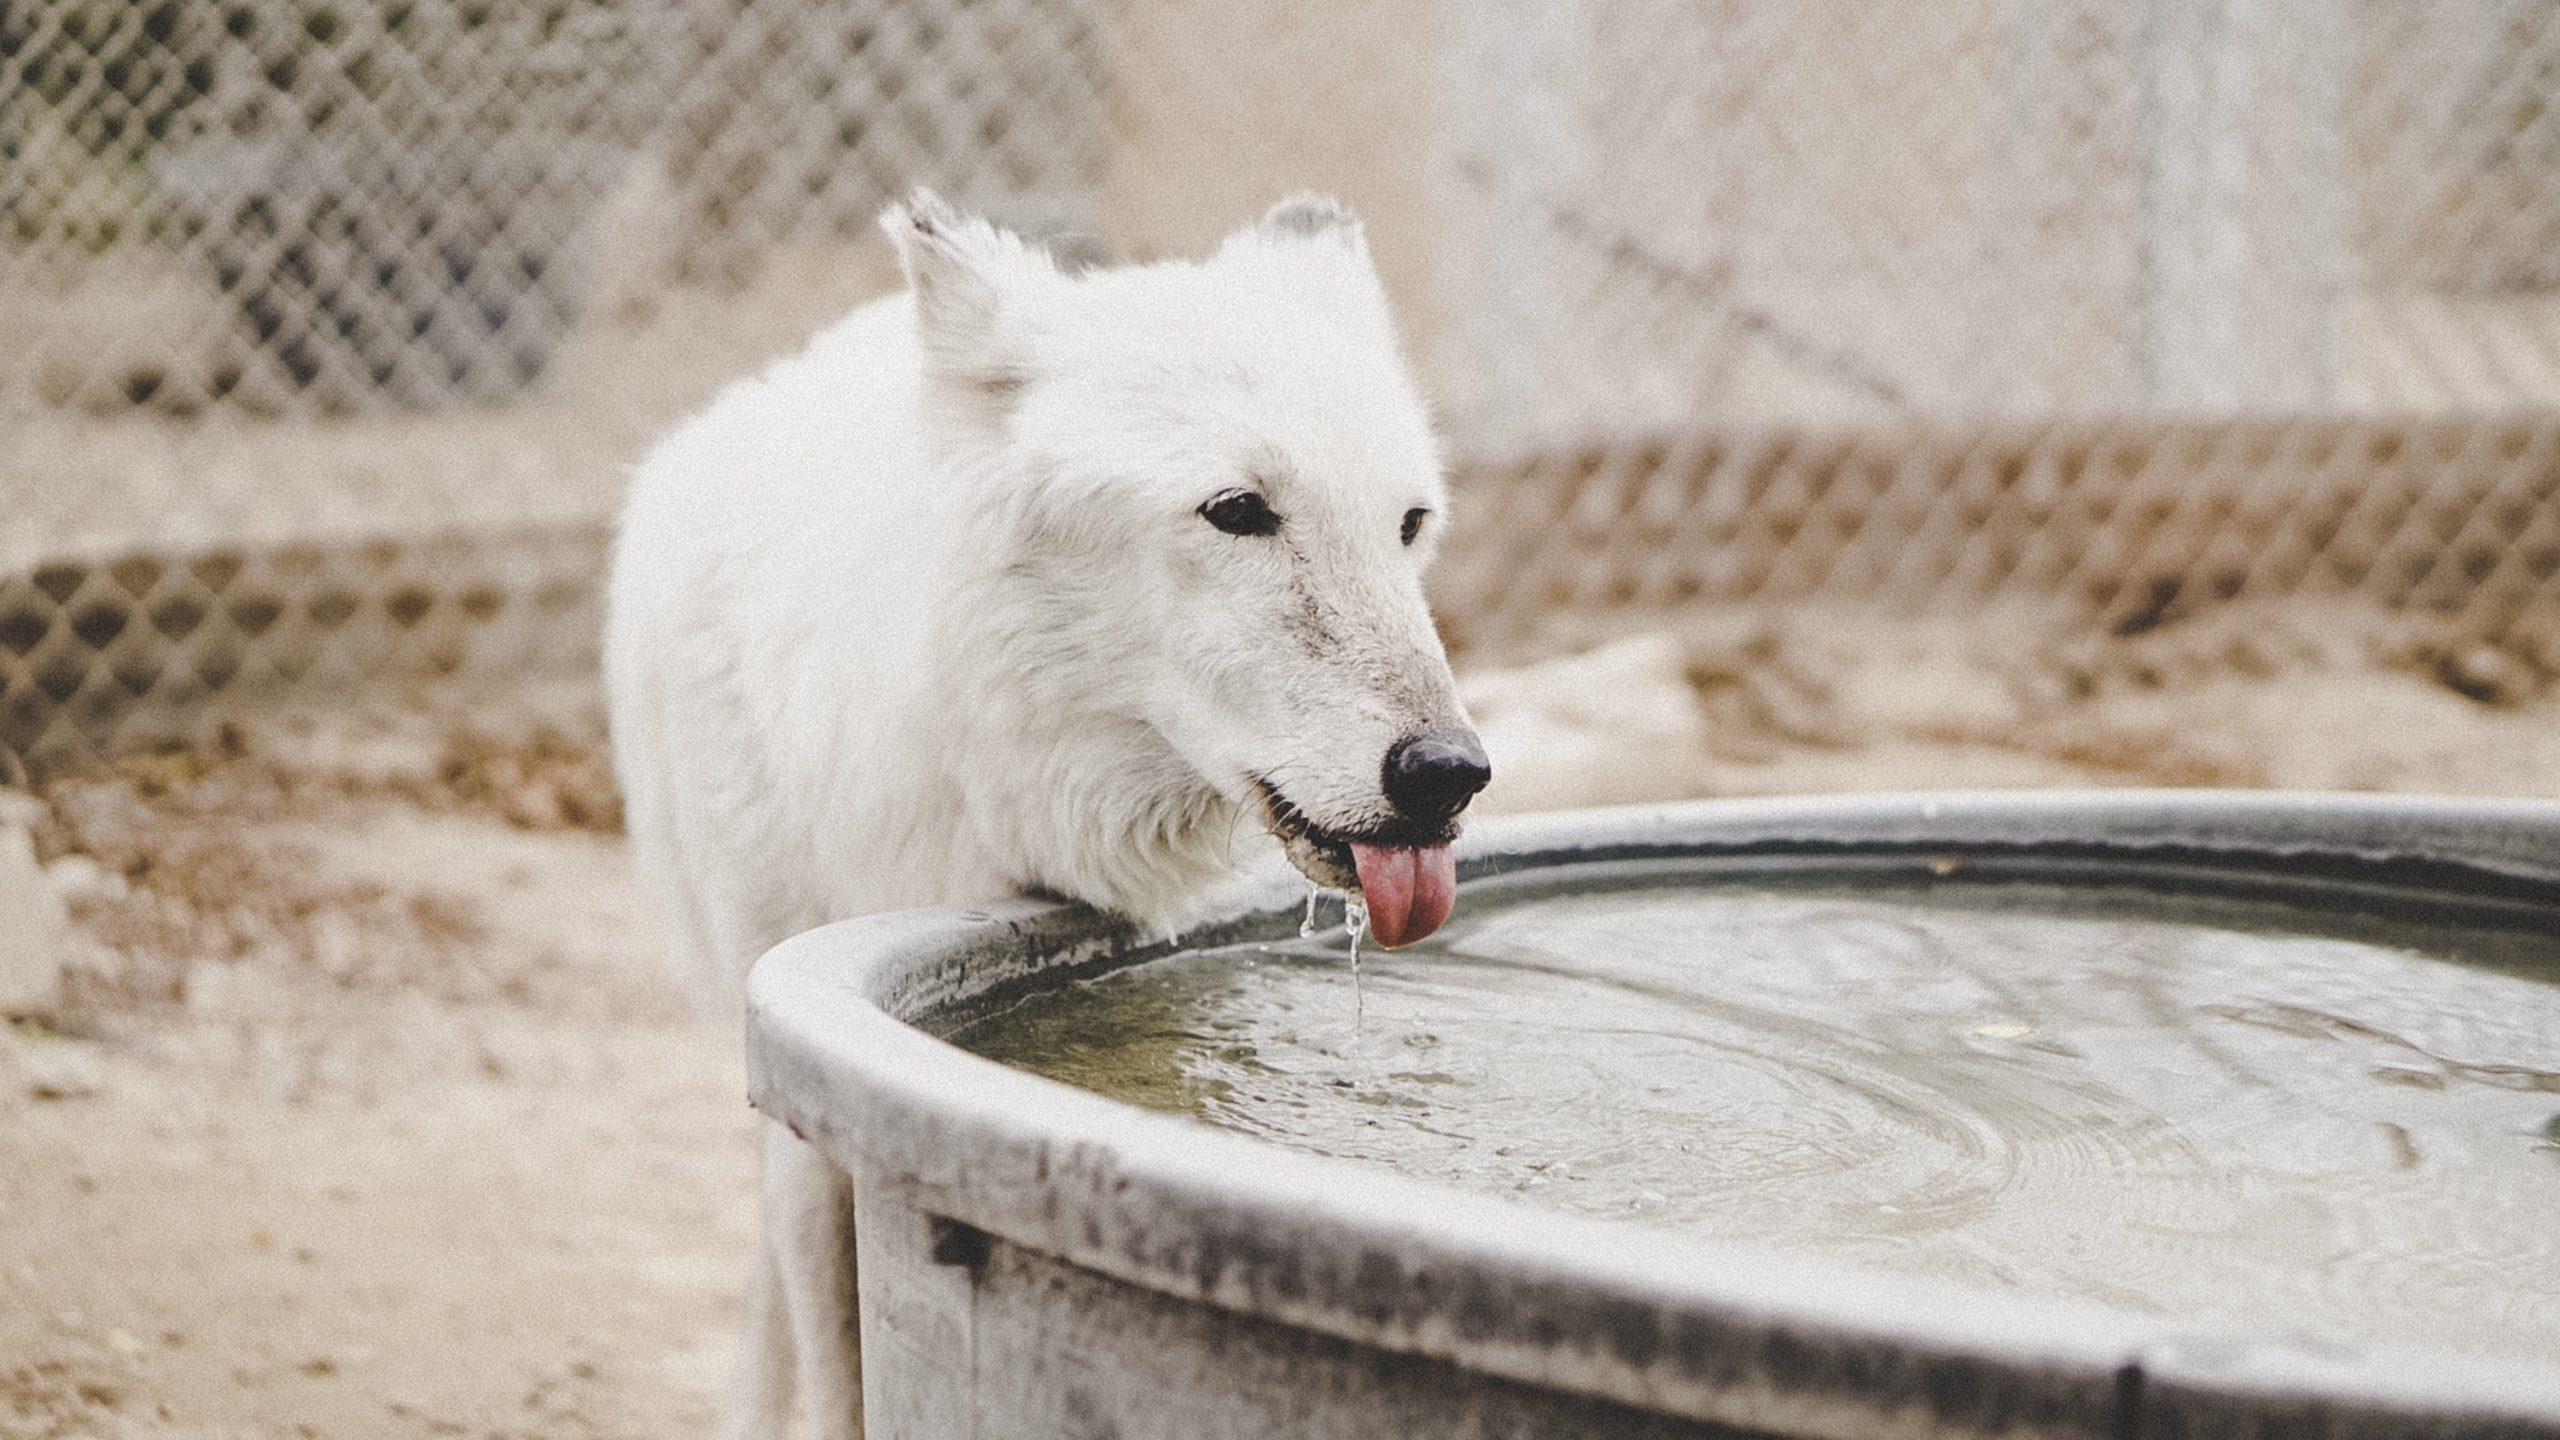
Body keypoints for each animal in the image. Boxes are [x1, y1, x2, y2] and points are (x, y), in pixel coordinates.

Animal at [606, 193, 1495, 1434]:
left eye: (1407, 523)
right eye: (1237, 510)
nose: (1448, 773)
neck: (1009, 800)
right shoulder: (803, 1083)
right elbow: (835, 1370)